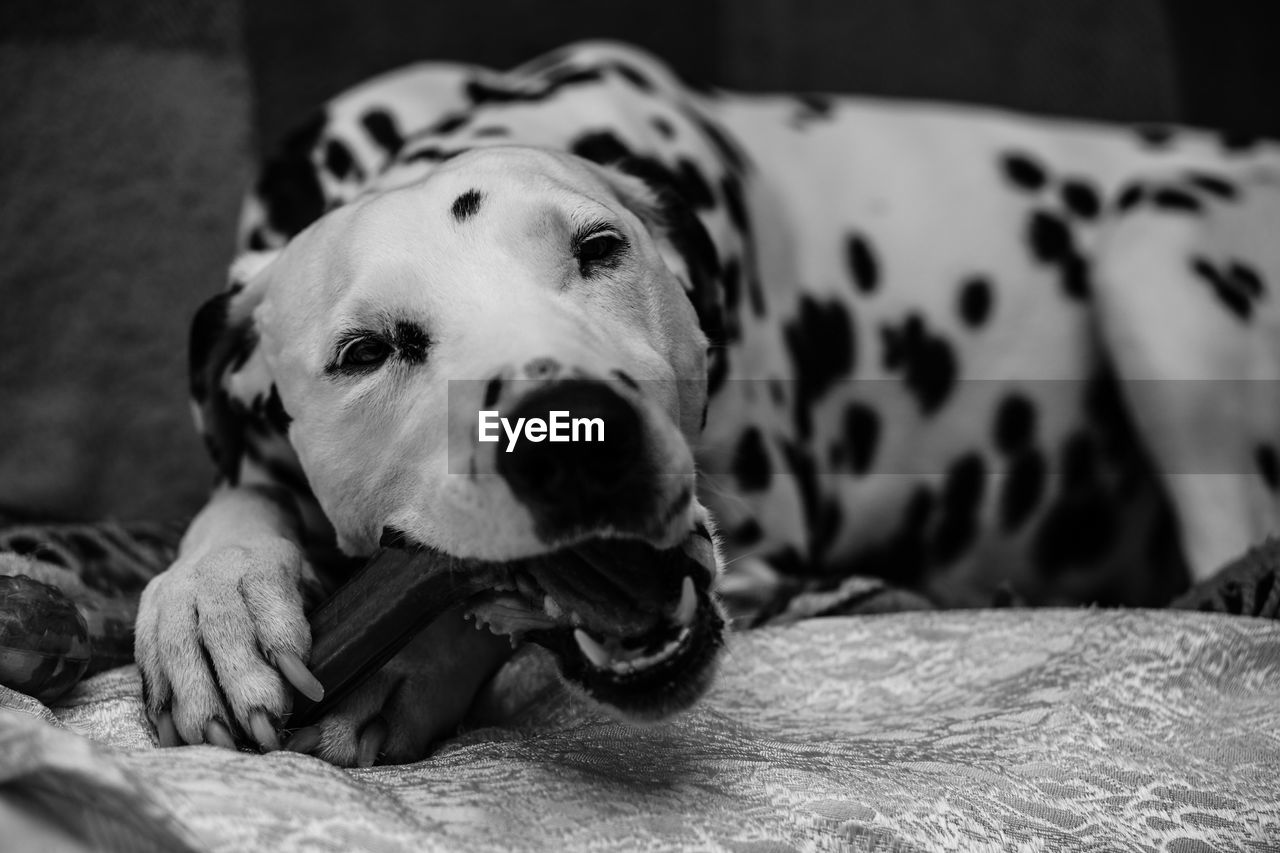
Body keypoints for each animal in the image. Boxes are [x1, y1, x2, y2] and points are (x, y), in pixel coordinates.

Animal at [135, 41, 1274, 763]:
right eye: (367, 351)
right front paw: (210, 598)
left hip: (1151, 241)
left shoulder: (765, 534)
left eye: (601, 248)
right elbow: (235, 500)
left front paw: (403, 665)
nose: (574, 441)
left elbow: (474, 607)